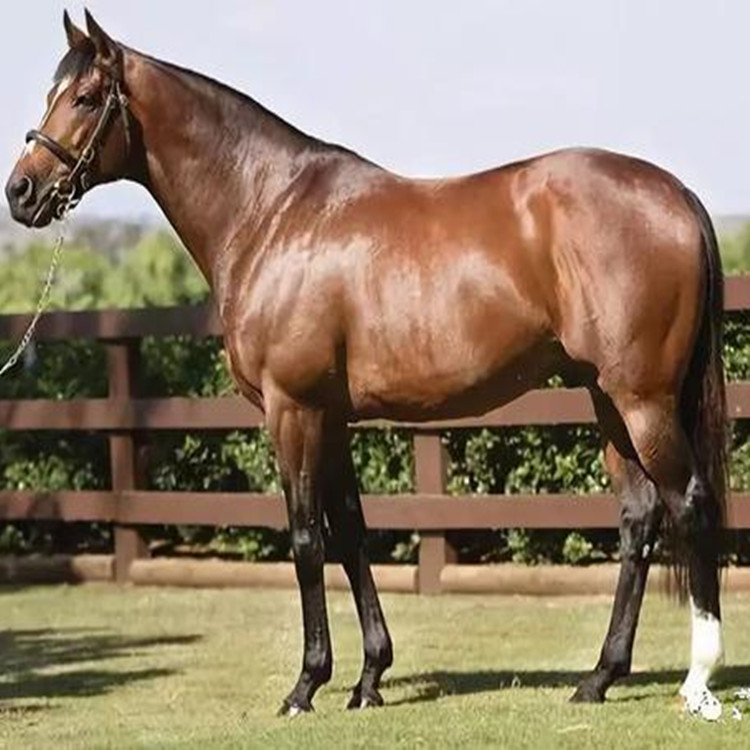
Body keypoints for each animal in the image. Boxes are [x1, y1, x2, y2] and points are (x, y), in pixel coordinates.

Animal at [6, 11, 728, 720]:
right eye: (50, 92)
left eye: (86, 97)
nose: (21, 191)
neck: (270, 213)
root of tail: (677, 193)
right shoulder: (331, 418)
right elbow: (351, 532)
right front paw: (369, 678)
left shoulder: (292, 410)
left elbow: (305, 538)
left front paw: (305, 686)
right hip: (607, 399)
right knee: (639, 518)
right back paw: (599, 677)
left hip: (642, 401)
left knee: (689, 504)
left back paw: (697, 680)